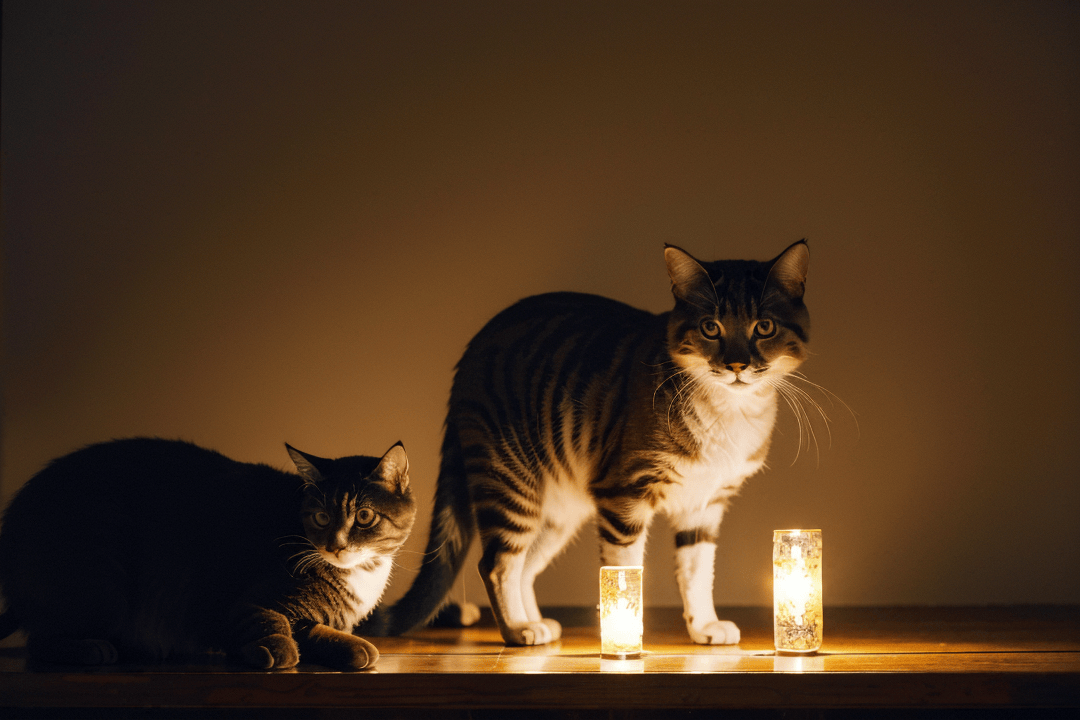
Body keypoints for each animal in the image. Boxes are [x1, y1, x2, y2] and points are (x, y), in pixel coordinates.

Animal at [0, 440, 414, 669]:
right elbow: (272, 622)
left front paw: (354, 646)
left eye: (364, 516)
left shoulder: (311, 619)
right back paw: (93, 648)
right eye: (322, 517)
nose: (336, 545)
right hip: (102, 577)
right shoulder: (247, 604)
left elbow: (325, 634)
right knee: (40, 640)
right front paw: (275, 651)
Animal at [371, 240, 812, 647]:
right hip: (511, 481)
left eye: (764, 327)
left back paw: (536, 621)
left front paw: (704, 625)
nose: (737, 365)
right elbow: (626, 570)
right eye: (710, 328)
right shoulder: (624, 495)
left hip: (558, 509)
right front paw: (627, 633)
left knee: (525, 564)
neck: (728, 412)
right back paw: (516, 629)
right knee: (497, 563)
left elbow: (696, 572)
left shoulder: (706, 504)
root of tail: (468, 354)